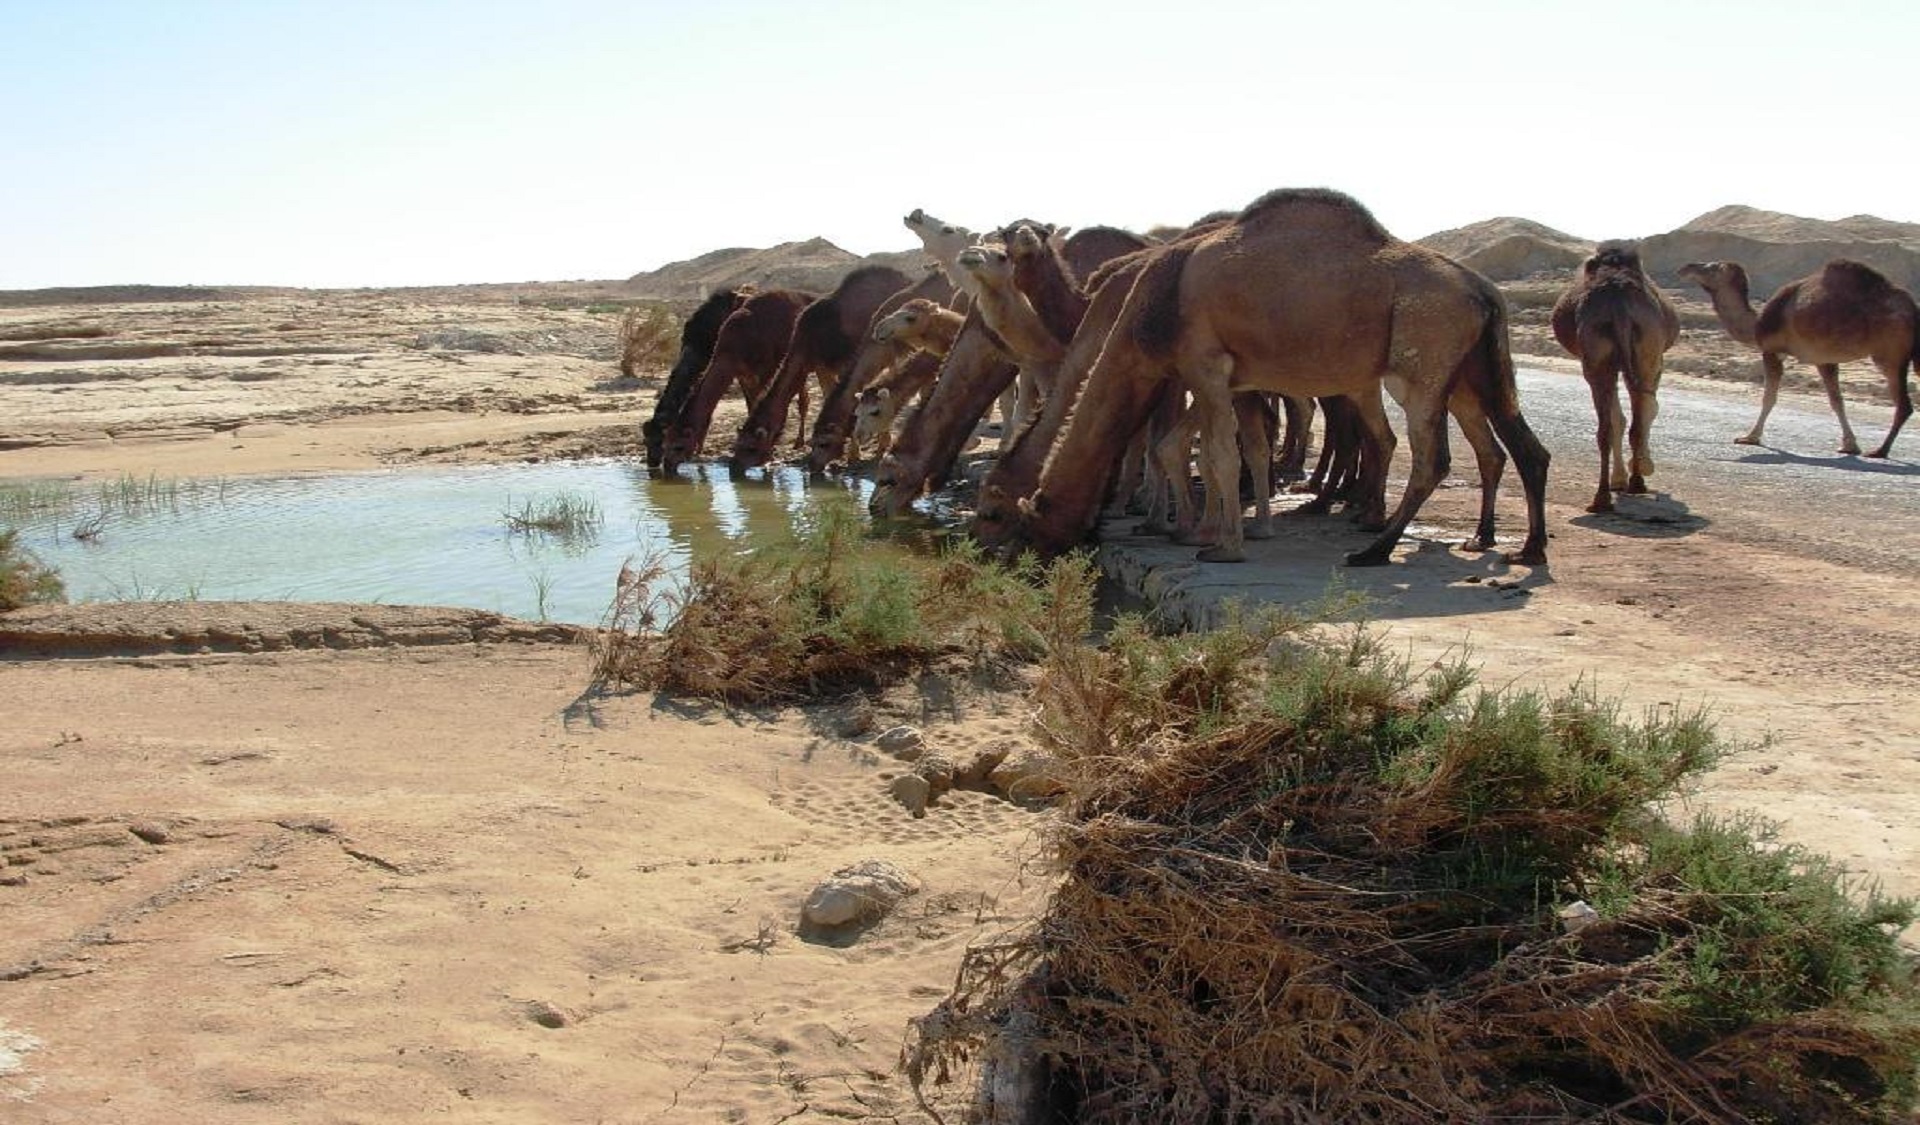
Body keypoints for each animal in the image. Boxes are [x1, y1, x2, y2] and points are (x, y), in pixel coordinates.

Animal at [656, 289, 814, 472]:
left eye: (679, 447)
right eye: (664, 444)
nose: (667, 465)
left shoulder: (766, 370)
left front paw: (768, 453)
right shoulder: (742, 374)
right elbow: (751, 404)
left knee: (803, 399)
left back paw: (799, 442)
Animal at [729, 263, 917, 468]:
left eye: (751, 448)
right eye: (736, 446)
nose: (735, 467)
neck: (808, 337)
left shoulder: (841, 362)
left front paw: (853, 455)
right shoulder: (821, 366)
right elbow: (831, 396)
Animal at [998, 189, 1551, 568]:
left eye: (1013, 521)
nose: (1015, 561)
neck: (1148, 310)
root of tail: (1484, 289)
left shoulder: (1204, 366)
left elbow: (1219, 455)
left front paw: (1222, 546)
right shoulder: (1233, 381)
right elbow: (1217, 450)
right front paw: (1213, 530)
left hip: (1423, 360)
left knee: (1430, 457)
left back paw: (1373, 548)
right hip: (1474, 369)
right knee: (1518, 447)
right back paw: (1522, 547)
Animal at [1543, 245, 1681, 510]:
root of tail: (1618, 302)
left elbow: (1625, 417)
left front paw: (1625, 476)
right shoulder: (1653, 364)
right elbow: (1646, 411)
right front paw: (1638, 469)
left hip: (1601, 358)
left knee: (1609, 427)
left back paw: (1604, 496)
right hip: (1641, 355)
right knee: (1633, 420)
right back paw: (1633, 483)